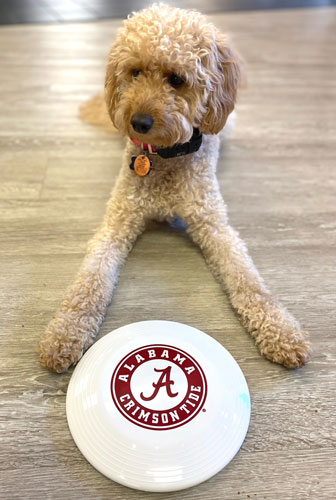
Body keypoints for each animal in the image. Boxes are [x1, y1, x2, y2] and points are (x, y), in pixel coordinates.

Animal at [39, 2, 312, 372]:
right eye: (135, 71)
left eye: (177, 80)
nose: (137, 122)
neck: (164, 156)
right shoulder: (117, 222)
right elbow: (89, 281)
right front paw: (64, 332)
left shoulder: (214, 225)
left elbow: (249, 281)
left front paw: (282, 330)